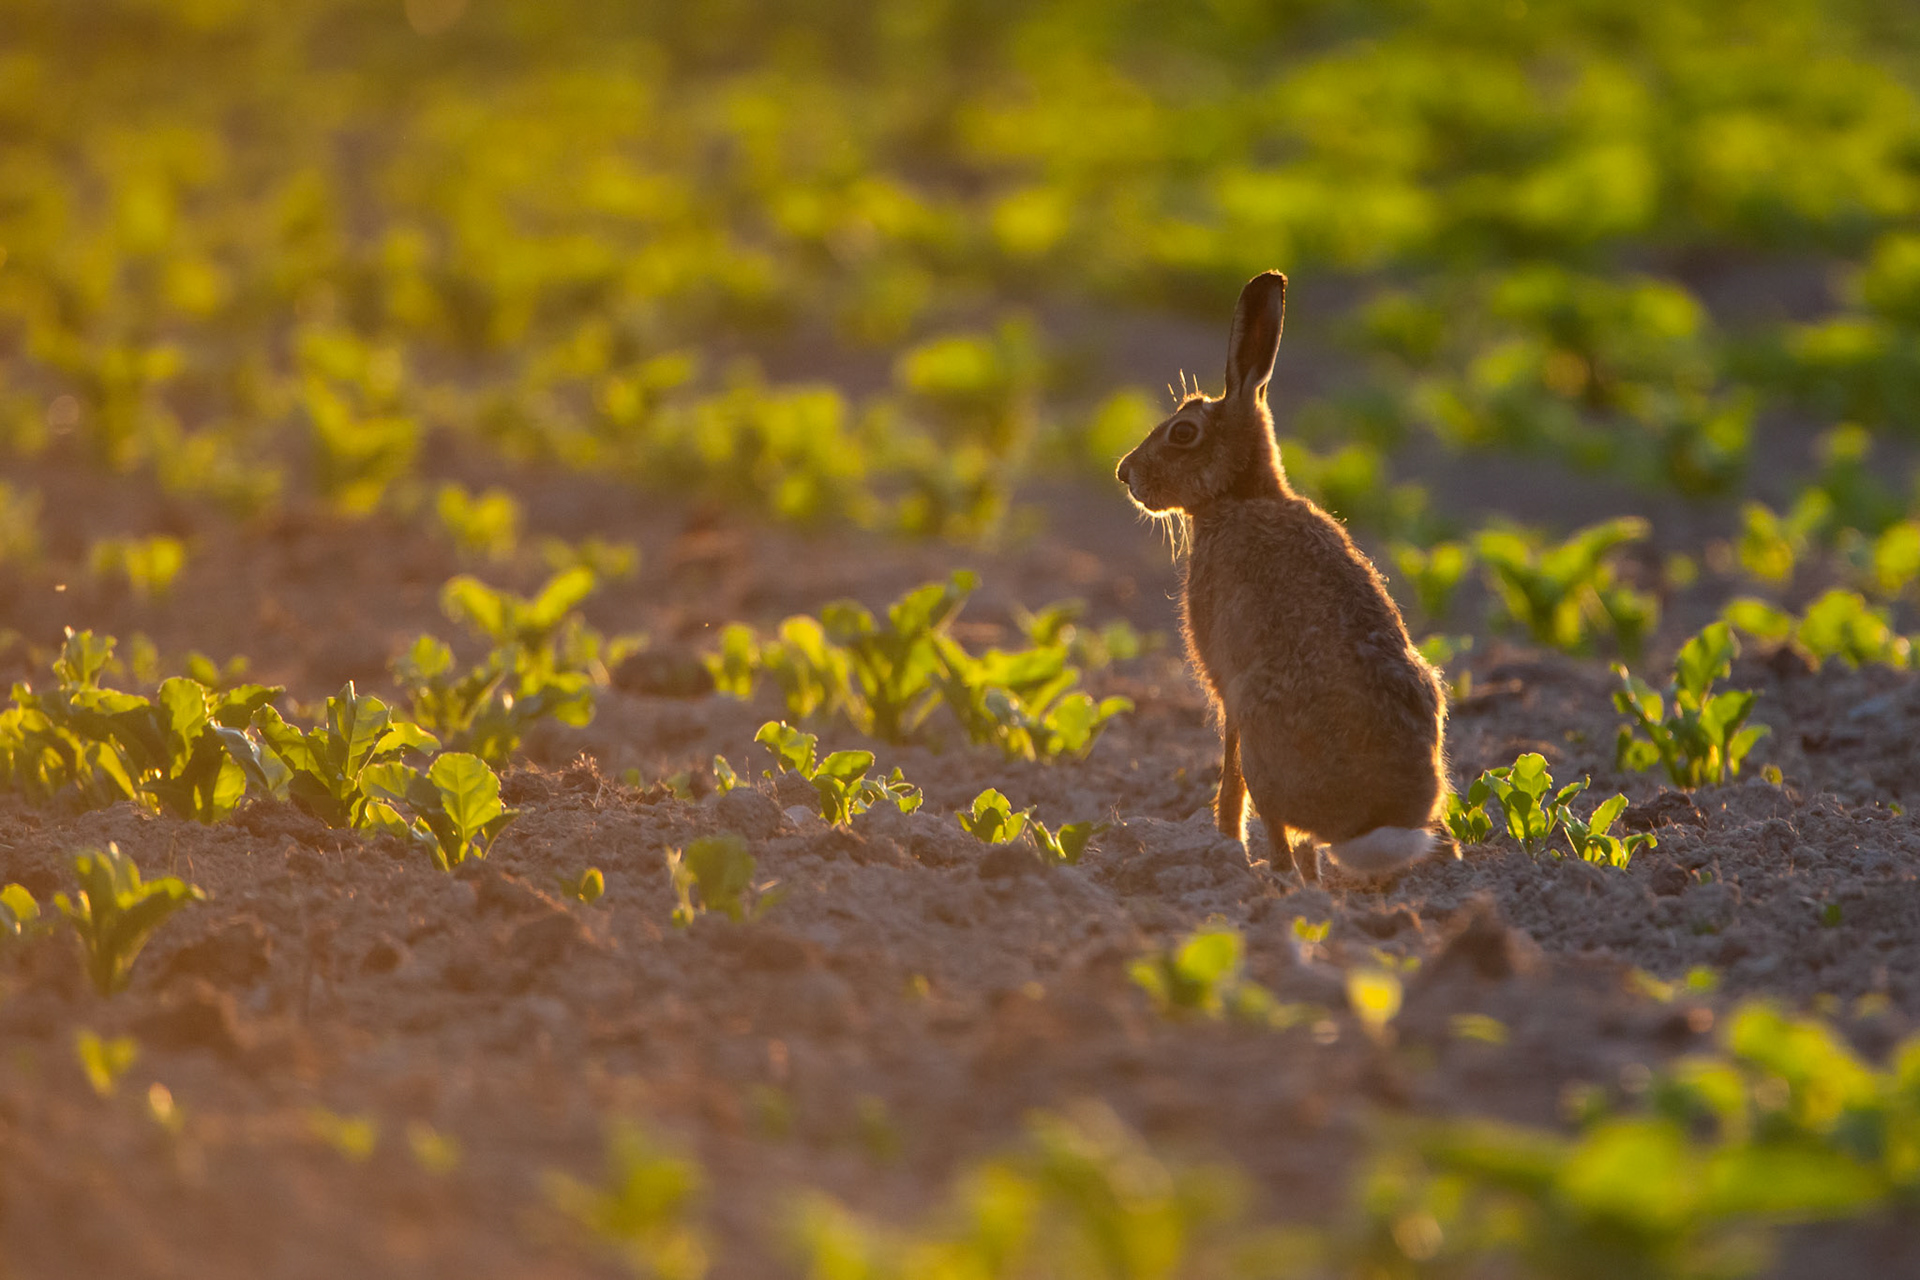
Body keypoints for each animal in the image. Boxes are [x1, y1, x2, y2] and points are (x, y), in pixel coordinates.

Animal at [1115, 270, 1448, 883]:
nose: (1126, 474)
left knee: (1275, 824)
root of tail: (1373, 821)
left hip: (1256, 720)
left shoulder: (1224, 688)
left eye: (1183, 433)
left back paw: (1268, 875)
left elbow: (1229, 781)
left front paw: (1225, 841)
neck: (1241, 495)